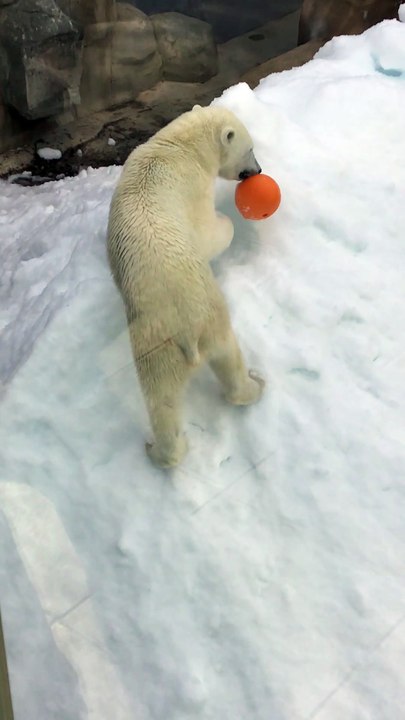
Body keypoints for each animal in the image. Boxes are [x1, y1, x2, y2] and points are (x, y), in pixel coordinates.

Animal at [107, 104, 265, 468]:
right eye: (250, 148)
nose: (257, 170)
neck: (179, 146)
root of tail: (188, 334)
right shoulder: (193, 188)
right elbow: (208, 233)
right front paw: (226, 224)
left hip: (165, 345)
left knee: (163, 396)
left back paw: (159, 448)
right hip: (191, 324)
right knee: (222, 359)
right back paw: (255, 385)